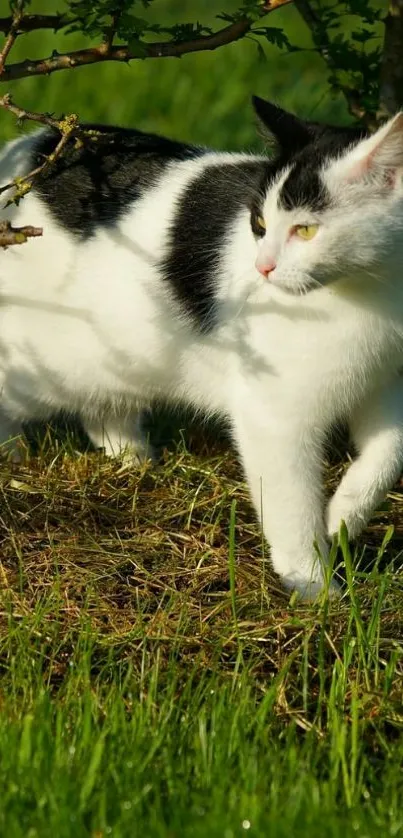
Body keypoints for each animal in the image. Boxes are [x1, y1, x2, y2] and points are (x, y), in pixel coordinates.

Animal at [0, 100, 403, 596]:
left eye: (306, 231)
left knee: (103, 407)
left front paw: (344, 515)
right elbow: (291, 508)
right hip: (44, 364)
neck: (369, 289)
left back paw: (136, 462)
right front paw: (315, 590)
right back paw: (14, 459)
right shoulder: (274, 416)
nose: (262, 267)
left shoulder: (381, 380)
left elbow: (390, 451)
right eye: (260, 224)